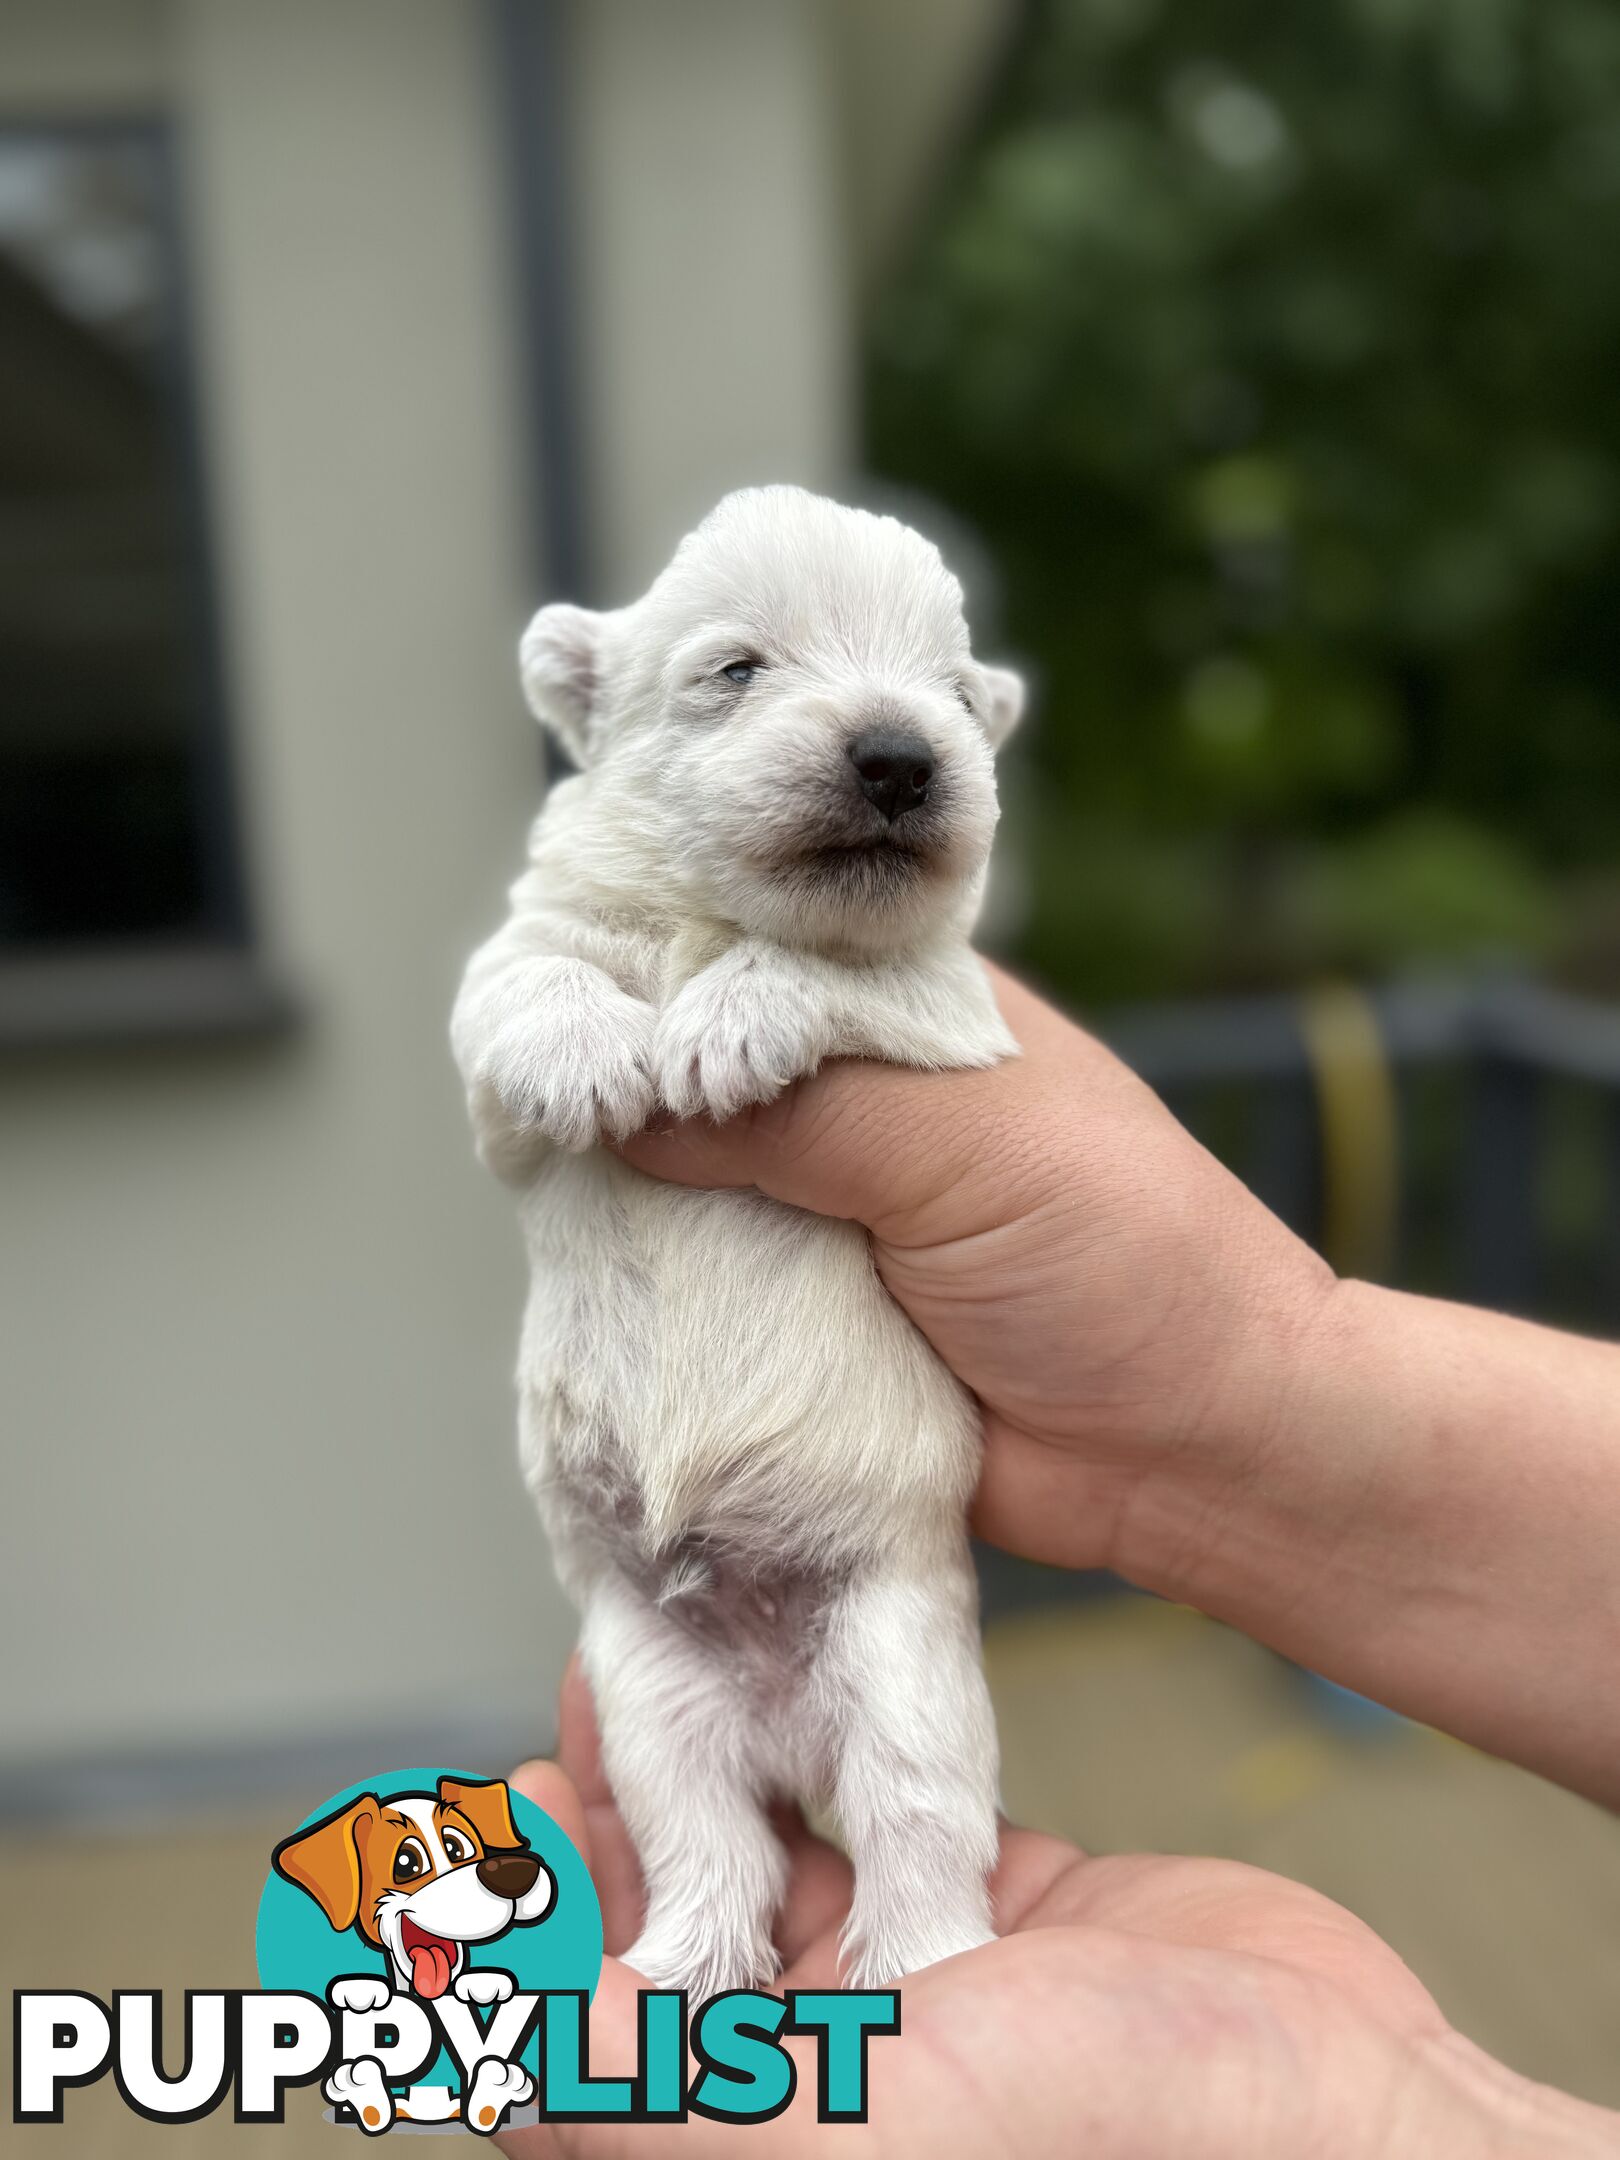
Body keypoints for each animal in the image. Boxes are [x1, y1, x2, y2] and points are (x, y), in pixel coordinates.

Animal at [451, 490, 1019, 1987]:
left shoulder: (961, 1017)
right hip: (651, 1683)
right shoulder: (512, 1004)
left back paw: (918, 1962)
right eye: (736, 667)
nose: (900, 757)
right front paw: (595, 1054)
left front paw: (723, 1024)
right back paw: (683, 1960)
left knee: (915, 1817)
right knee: (708, 1832)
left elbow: (851, 968)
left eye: (954, 694)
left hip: (901, 1656)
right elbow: (522, 982)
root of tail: (786, 1727)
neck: (699, 918)